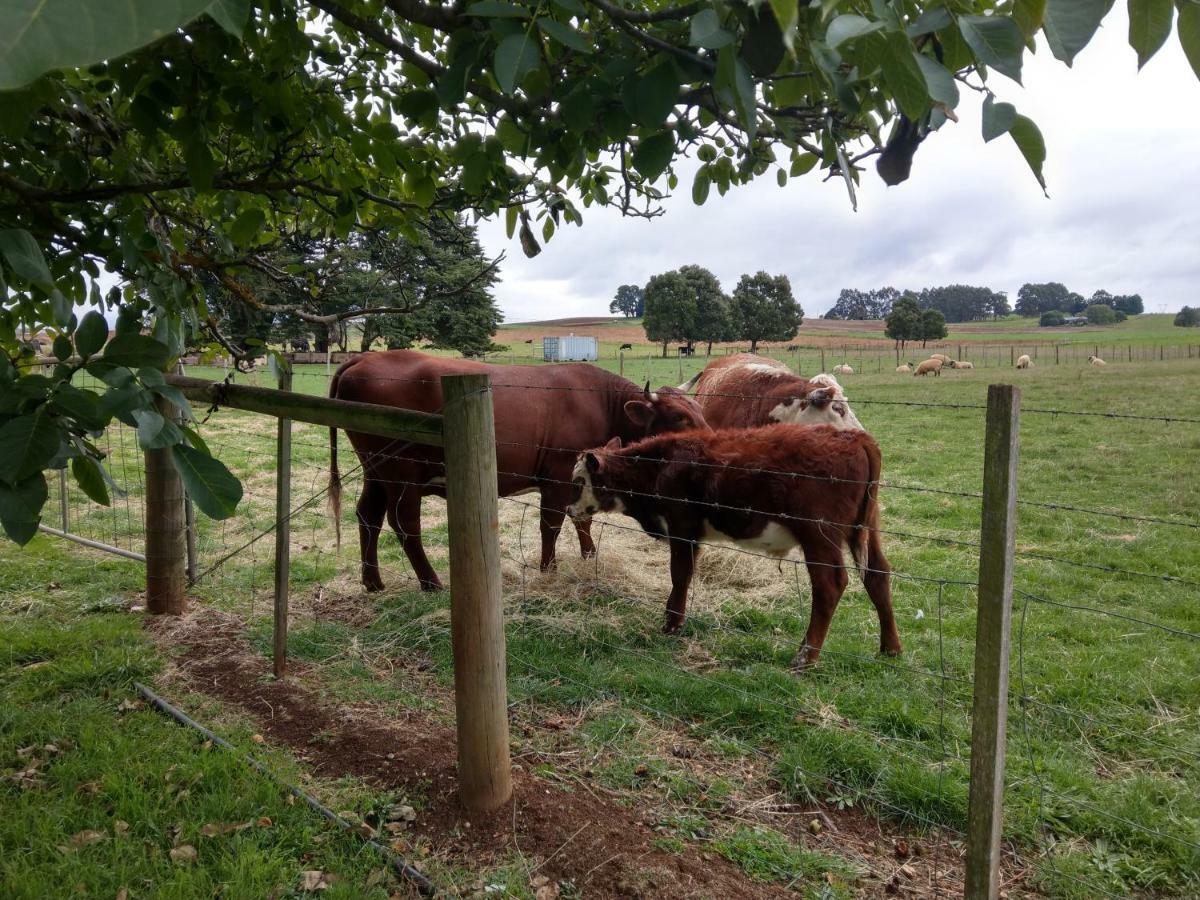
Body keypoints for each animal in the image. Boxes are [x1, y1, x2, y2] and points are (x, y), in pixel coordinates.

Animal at [328, 350, 705, 592]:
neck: (600, 401)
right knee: (404, 522)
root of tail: (363, 357)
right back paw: (430, 583)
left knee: (368, 515)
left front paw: (589, 557)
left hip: (375, 470)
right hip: (401, 473)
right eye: (679, 419)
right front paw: (549, 570)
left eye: (698, 410)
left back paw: (373, 582)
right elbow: (551, 524)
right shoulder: (557, 475)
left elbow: (583, 519)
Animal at [564, 424, 902, 672]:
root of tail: (854, 437)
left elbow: (680, 575)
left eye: (579, 481)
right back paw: (890, 648)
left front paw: (671, 624)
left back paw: (805, 657)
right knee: (877, 575)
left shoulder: (683, 527)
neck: (659, 466)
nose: (569, 509)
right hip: (866, 528)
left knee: (830, 586)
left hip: (819, 535)